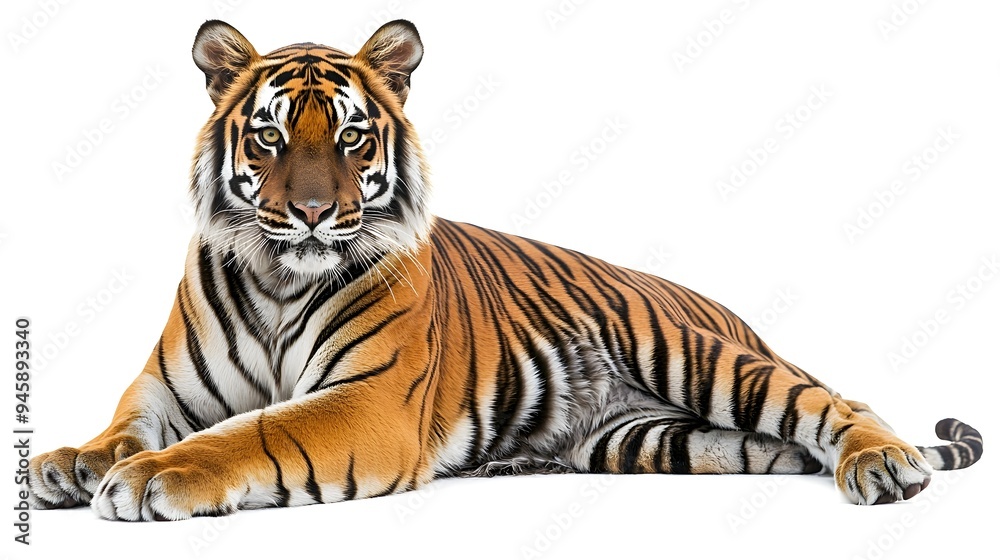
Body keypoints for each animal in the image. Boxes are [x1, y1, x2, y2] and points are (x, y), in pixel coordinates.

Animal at [25, 19, 982, 521]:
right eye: (269, 136)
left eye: (351, 136)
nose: (311, 212)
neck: (276, 275)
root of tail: (725, 311)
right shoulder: (165, 389)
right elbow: (124, 425)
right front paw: (74, 462)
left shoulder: (366, 400)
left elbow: (250, 432)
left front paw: (152, 478)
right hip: (654, 440)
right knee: (773, 445)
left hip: (704, 357)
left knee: (836, 405)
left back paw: (884, 465)